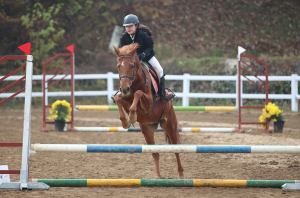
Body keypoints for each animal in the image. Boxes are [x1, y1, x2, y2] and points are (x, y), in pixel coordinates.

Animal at [112, 43, 183, 179]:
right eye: (118, 66)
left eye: (132, 65)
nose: (124, 89)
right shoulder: (125, 99)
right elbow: (118, 98)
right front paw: (125, 122)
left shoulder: (148, 103)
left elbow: (138, 93)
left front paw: (132, 117)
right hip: (147, 130)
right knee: (155, 153)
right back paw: (157, 176)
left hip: (170, 124)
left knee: (176, 148)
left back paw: (181, 174)